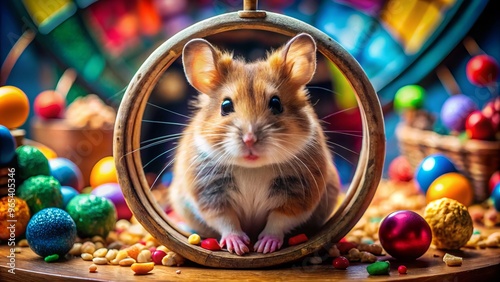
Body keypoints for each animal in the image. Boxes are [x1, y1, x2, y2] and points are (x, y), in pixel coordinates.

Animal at [168, 33, 340, 256]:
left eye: (276, 103)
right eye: (225, 106)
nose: (249, 139)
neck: (253, 169)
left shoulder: (300, 193)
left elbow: (279, 219)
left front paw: (264, 247)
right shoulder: (209, 192)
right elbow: (226, 220)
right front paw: (239, 247)